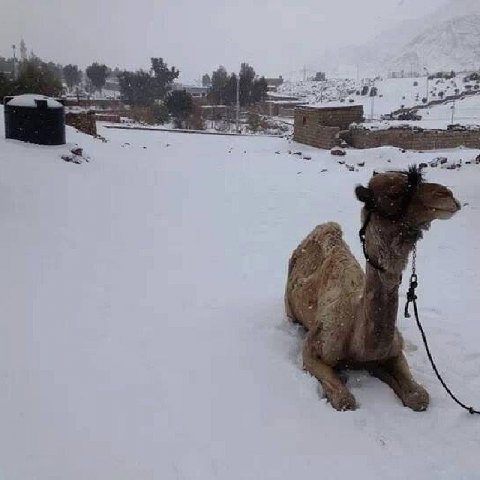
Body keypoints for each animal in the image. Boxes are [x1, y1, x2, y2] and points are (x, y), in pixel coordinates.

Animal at [284, 167, 462, 410]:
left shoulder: (393, 350)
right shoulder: (314, 347)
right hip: (290, 309)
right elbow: (345, 400)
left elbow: (420, 397)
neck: (357, 340)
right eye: (394, 192)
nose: (447, 195)